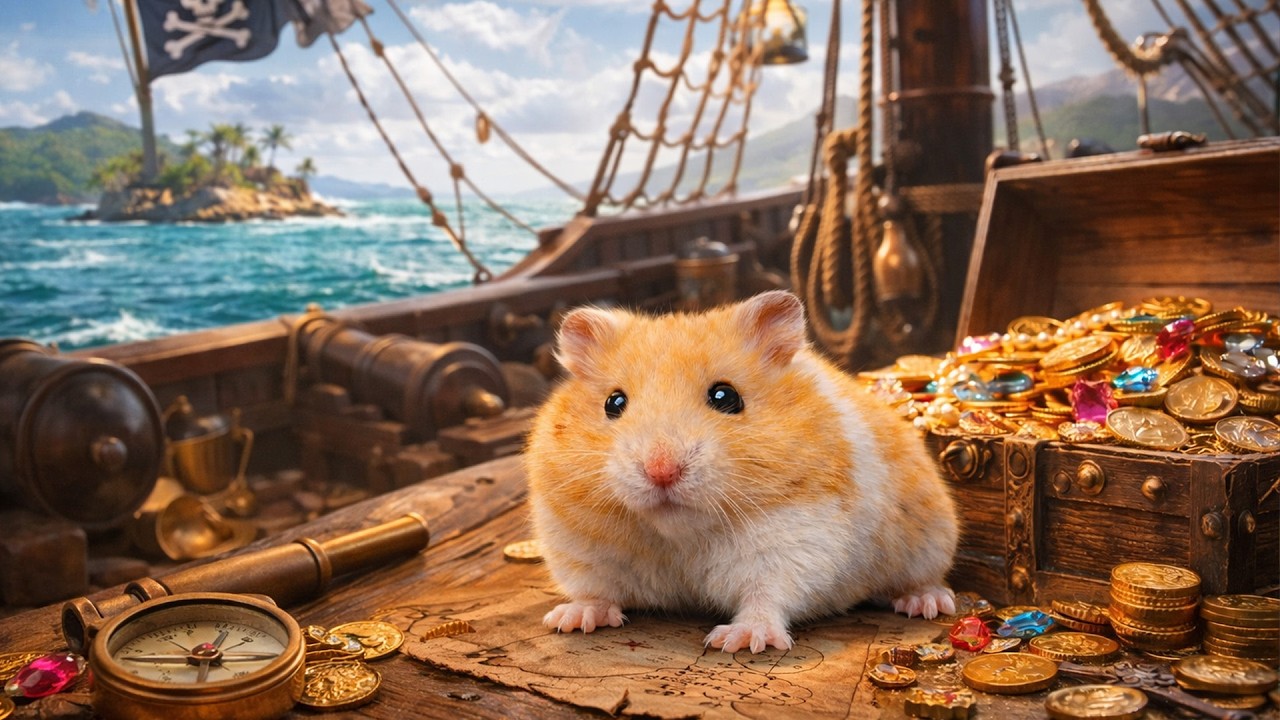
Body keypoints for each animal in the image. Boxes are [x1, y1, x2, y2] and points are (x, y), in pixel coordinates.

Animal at [524, 290, 959, 653]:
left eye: (725, 396)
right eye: (613, 403)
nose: (661, 471)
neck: (679, 535)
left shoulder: (799, 540)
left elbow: (766, 596)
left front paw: (739, 640)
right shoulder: (578, 547)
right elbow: (594, 590)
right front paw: (568, 620)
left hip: (929, 545)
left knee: (923, 581)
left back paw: (928, 604)